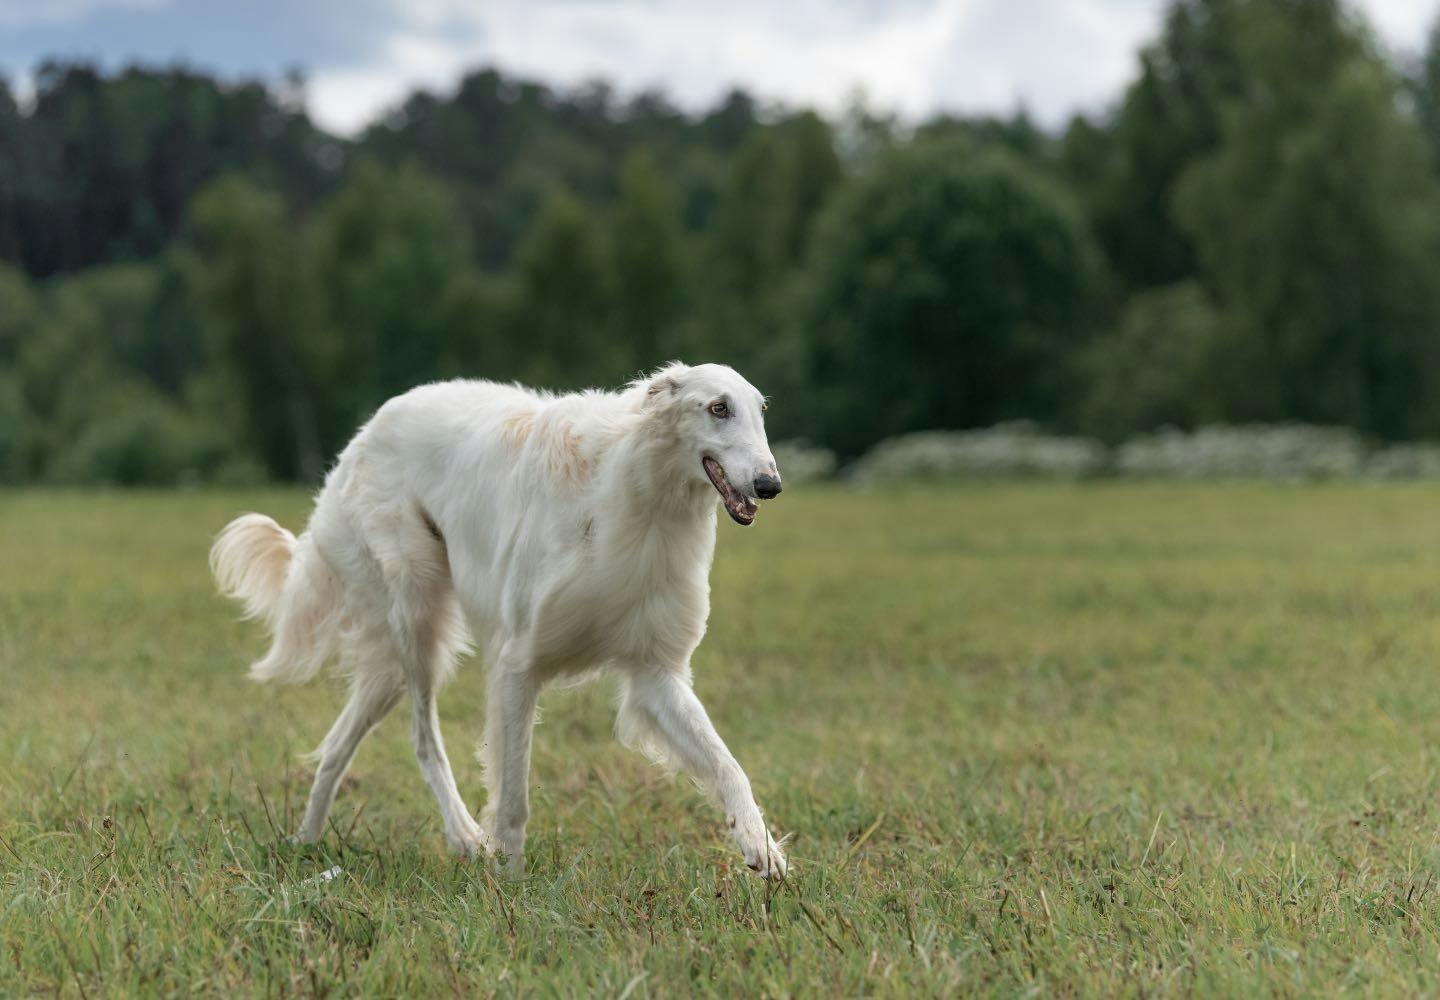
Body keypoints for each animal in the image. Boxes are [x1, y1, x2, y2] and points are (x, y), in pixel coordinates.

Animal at [210, 364, 789, 881]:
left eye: (761, 410)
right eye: (718, 408)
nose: (770, 485)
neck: (634, 496)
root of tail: (366, 433)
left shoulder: (655, 675)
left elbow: (727, 766)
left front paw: (760, 847)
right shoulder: (517, 664)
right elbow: (513, 796)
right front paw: (508, 885)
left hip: (393, 659)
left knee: (336, 745)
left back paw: (305, 843)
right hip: (418, 619)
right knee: (423, 740)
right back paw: (465, 837)